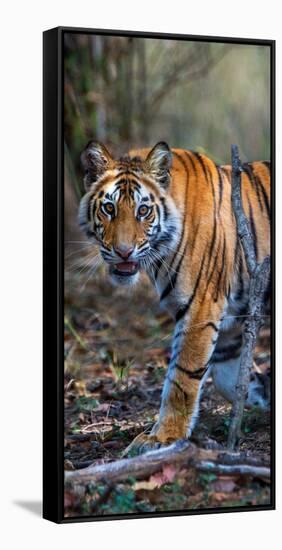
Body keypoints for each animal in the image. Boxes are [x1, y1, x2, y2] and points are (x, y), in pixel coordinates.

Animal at [78, 140, 270, 454]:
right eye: (108, 208)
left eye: (143, 210)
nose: (123, 252)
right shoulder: (229, 322)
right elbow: (229, 379)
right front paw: (265, 392)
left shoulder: (201, 308)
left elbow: (182, 377)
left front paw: (163, 438)